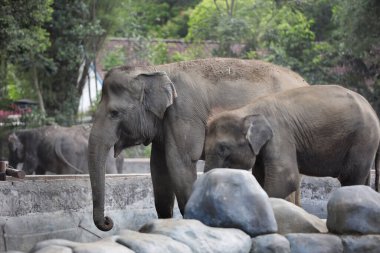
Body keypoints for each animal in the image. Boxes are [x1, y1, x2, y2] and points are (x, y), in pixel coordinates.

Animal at [87, 57, 308, 231]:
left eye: (114, 113)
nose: (108, 221)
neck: (156, 69)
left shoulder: (183, 112)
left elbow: (180, 164)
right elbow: (159, 171)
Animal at [205, 85, 380, 202]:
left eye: (223, 148)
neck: (246, 110)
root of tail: (373, 111)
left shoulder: (280, 134)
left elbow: (286, 178)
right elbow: (260, 175)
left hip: (363, 139)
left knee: (350, 177)